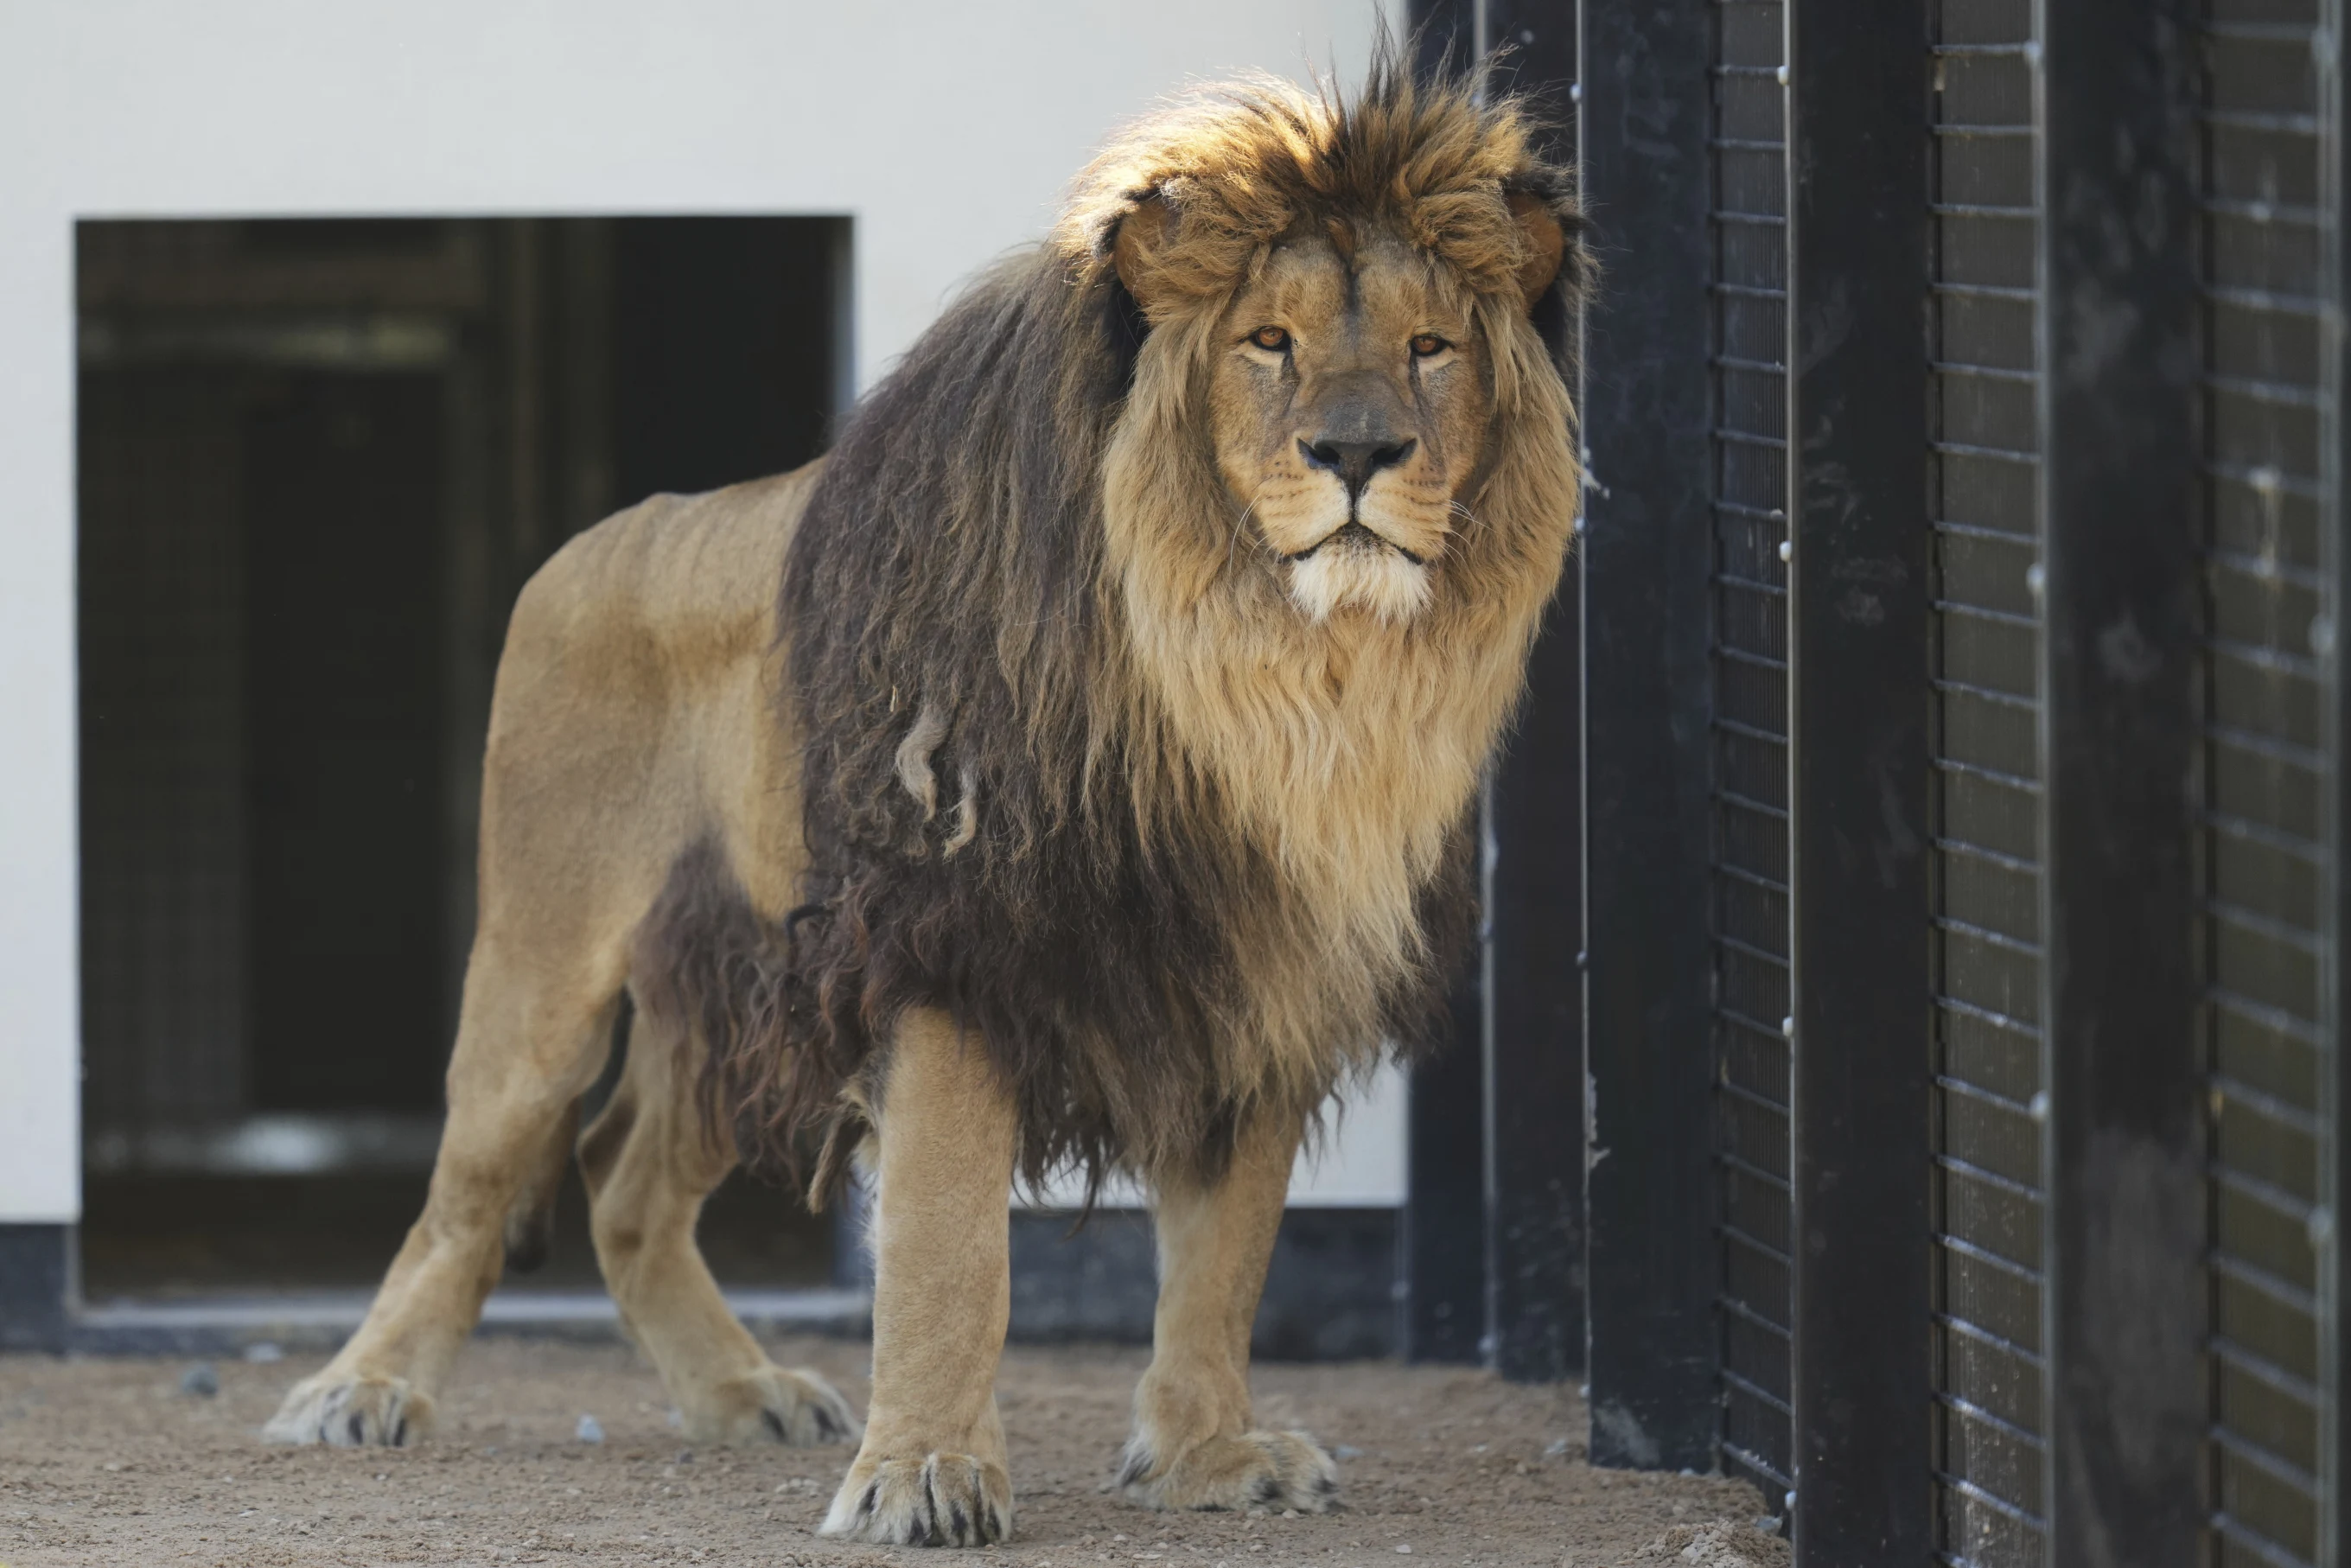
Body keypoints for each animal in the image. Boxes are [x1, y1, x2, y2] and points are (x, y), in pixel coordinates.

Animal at [263, 50, 1586, 1549]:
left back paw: (744, 1395)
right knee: (473, 1187)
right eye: (1269, 342)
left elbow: (1226, 1252)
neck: (1267, 681)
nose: (1356, 452)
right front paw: (928, 1475)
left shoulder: (1258, 974)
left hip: (748, 979)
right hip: (545, 964)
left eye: (1430, 347)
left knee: (621, 1178)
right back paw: (359, 1390)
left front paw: (1207, 1451)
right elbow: (948, 1243)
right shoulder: (948, 938)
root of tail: (601, 536)